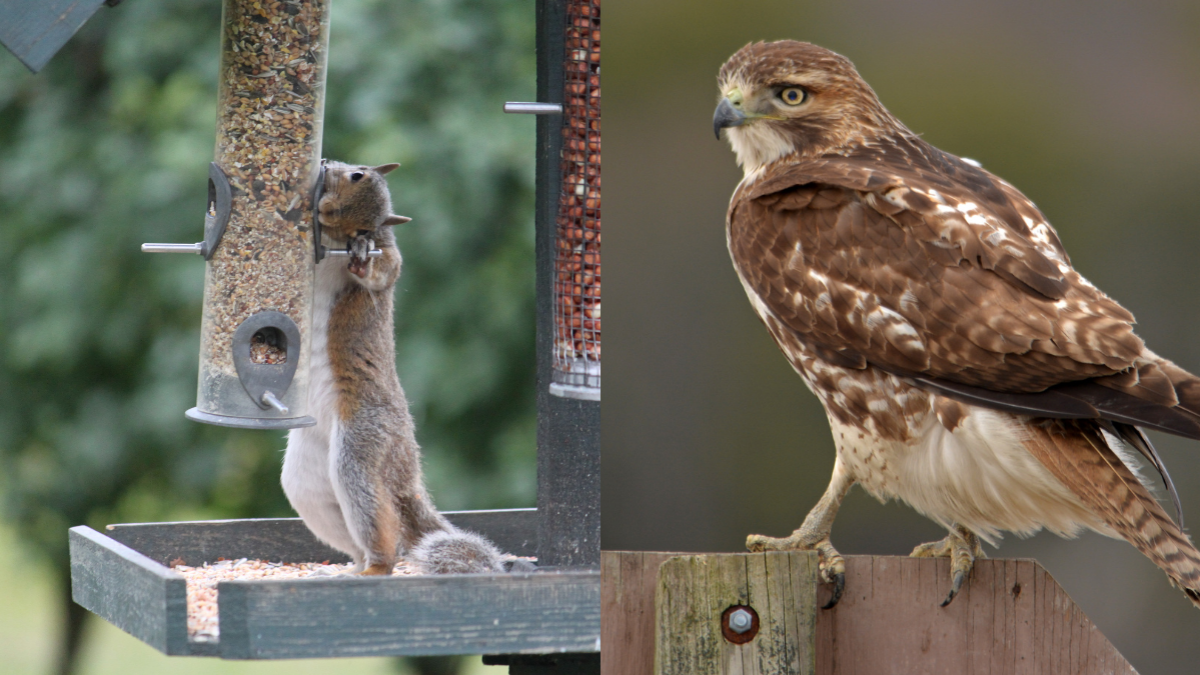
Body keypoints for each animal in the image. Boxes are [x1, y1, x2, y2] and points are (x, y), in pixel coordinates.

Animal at [283, 162, 523, 571]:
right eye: (358, 173)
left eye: (365, 231)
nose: (326, 209)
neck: (333, 240)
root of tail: (406, 470)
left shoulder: (388, 259)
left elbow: (385, 269)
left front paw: (363, 259)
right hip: (307, 478)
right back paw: (352, 570)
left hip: (363, 446)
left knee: (382, 534)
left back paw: (376, 567)